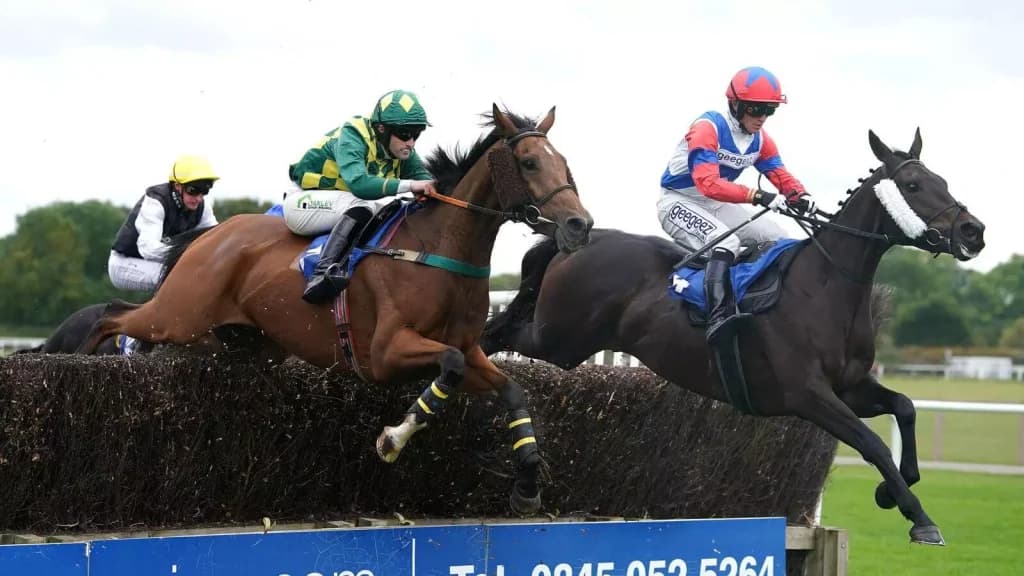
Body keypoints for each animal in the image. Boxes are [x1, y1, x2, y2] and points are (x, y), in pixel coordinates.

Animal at [77, 104, 594, 514]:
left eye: (566, 163)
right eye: (529, 162)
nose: (579, 225)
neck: (437, 248)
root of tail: (212, 234)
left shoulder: (471, 350)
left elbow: (511, 390)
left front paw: (527, 486)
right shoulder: (386, 352)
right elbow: (445, 369)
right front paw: (392, 439)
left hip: (238, 343)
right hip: (178, 315)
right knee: (111, 314)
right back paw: (79, 363)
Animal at [481, 129, 985, 544]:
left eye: (942, 179)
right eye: (914, 185)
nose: (973, 230)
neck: (825, 288)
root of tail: (579, 237)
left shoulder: (851, 388)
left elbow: (905, 407)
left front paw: (890, 490)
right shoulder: (808, 395)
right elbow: (873, 443)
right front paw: (920, 518)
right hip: (558, 338)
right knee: (495, 331)